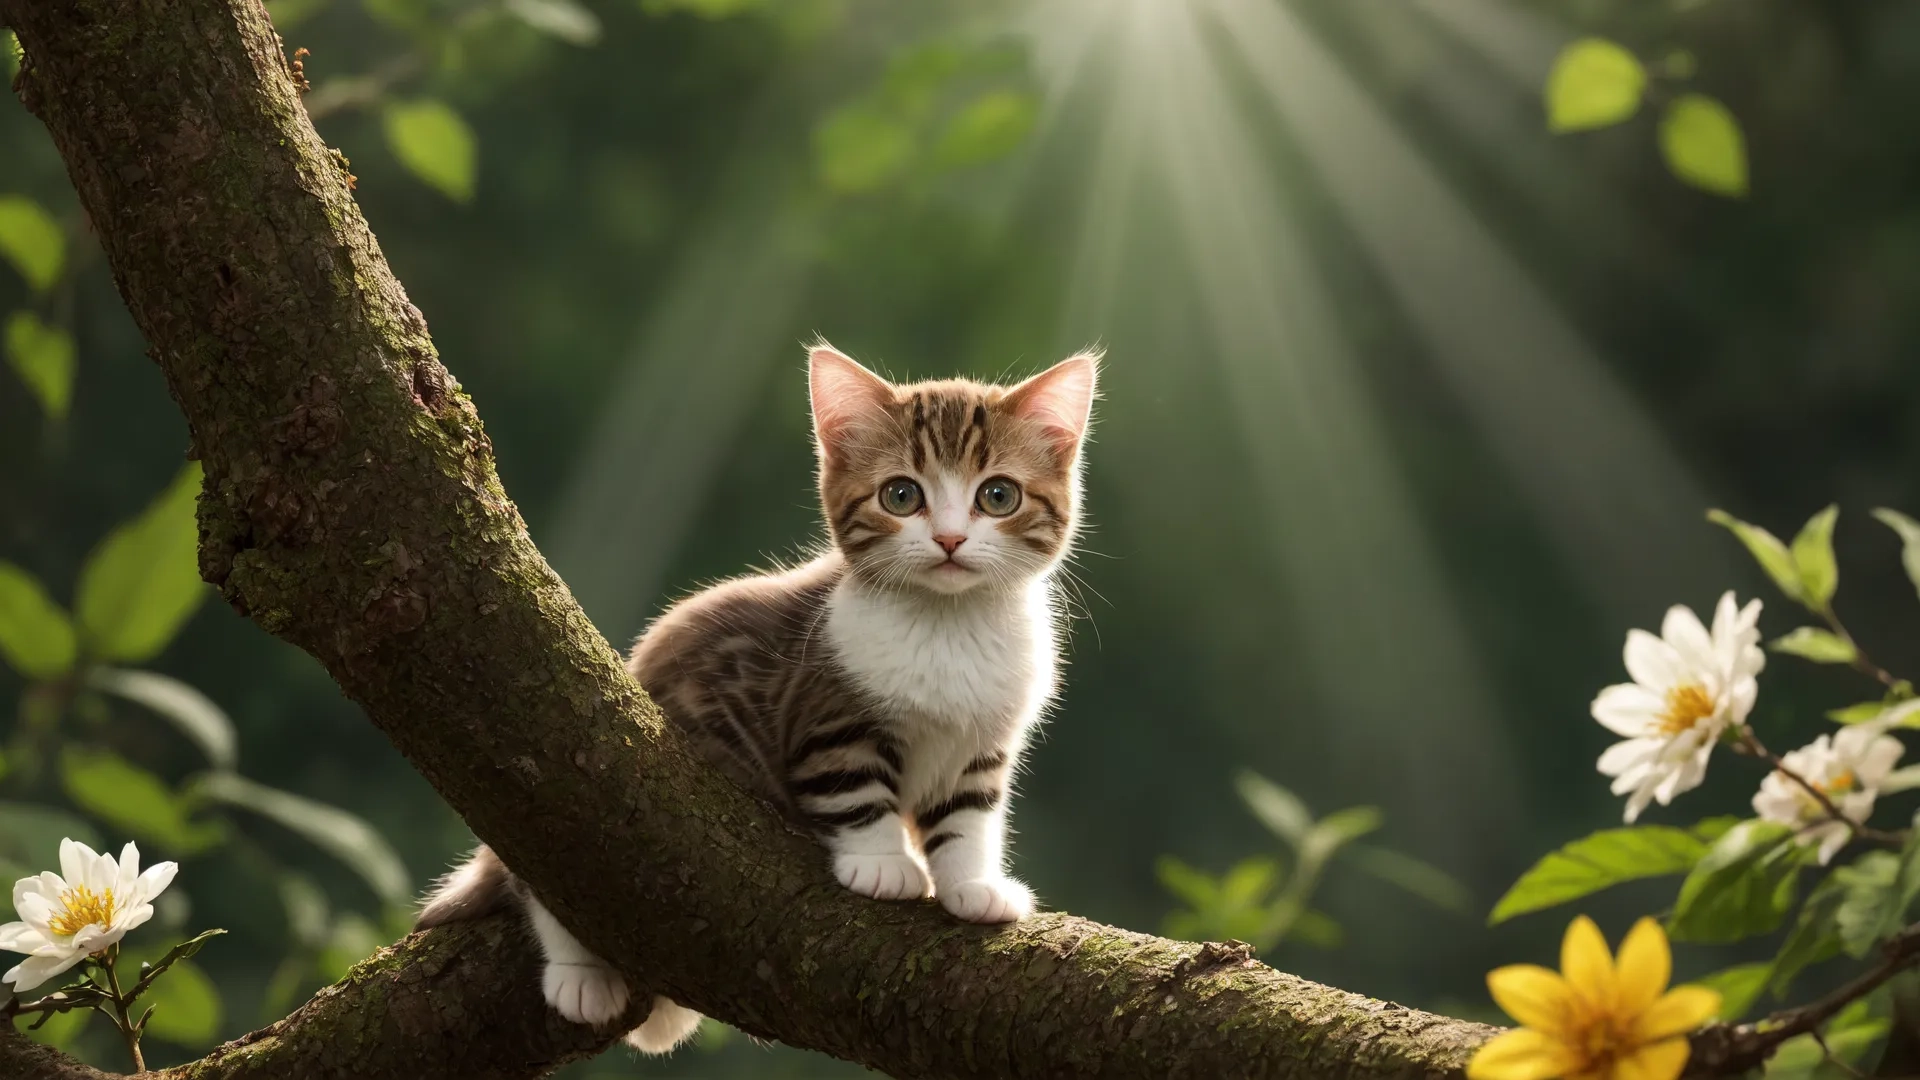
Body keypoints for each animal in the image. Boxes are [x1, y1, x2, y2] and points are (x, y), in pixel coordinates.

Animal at [416, 342, 1113, 1053]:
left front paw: (973, 883)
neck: (949, 623)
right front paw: (882, 862)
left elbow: (971, 814)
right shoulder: (824, 708)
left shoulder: (983, 744)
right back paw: (579, 975)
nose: (949, 539)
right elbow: (852, 786)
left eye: (997, 496)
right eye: (901, 495)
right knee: (542, 878)